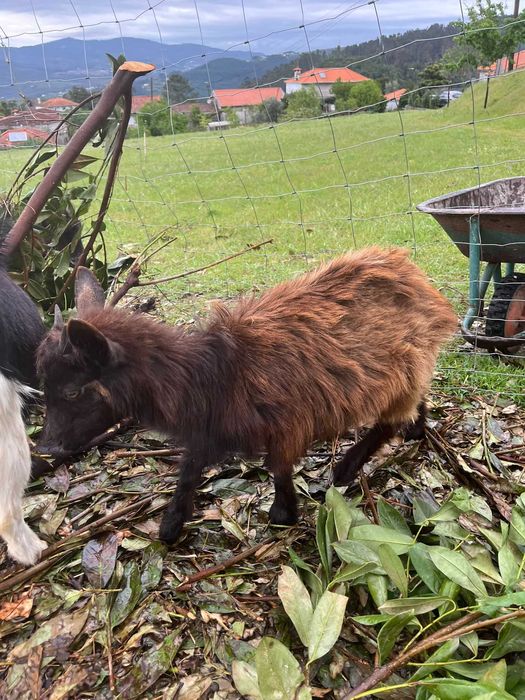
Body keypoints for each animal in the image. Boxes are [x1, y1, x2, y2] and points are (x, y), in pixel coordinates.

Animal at [37, 248, 457, 544]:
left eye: (73, 391)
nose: (47, 449)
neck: (208, 376)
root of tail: (415, 275)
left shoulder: (285, 425)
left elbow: (279, 467)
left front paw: (284, 514)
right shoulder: (210, 431)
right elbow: (189, 472)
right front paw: (171, 528)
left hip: (402, 368)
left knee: (390, 422)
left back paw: (346, 468)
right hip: (414, 367)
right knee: (415, 400)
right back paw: (416, 429)